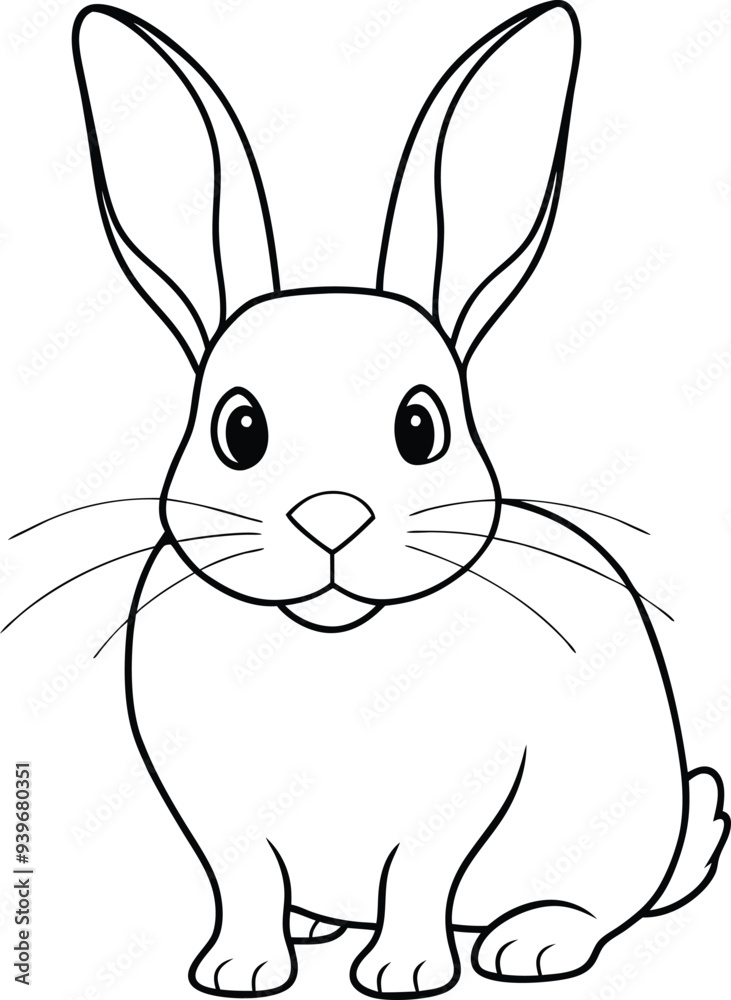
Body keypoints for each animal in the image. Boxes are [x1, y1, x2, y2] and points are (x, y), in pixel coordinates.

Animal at [62, 2, 729, 997]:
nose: (330, 518)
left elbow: (416, 878)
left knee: (600, 906)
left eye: (420, 427)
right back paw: (316, 930)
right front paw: (238, 969)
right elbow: (244, 884)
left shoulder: (454, 806)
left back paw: (528, 944)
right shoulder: (222, 823)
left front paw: (405, 973)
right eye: (239, 430)